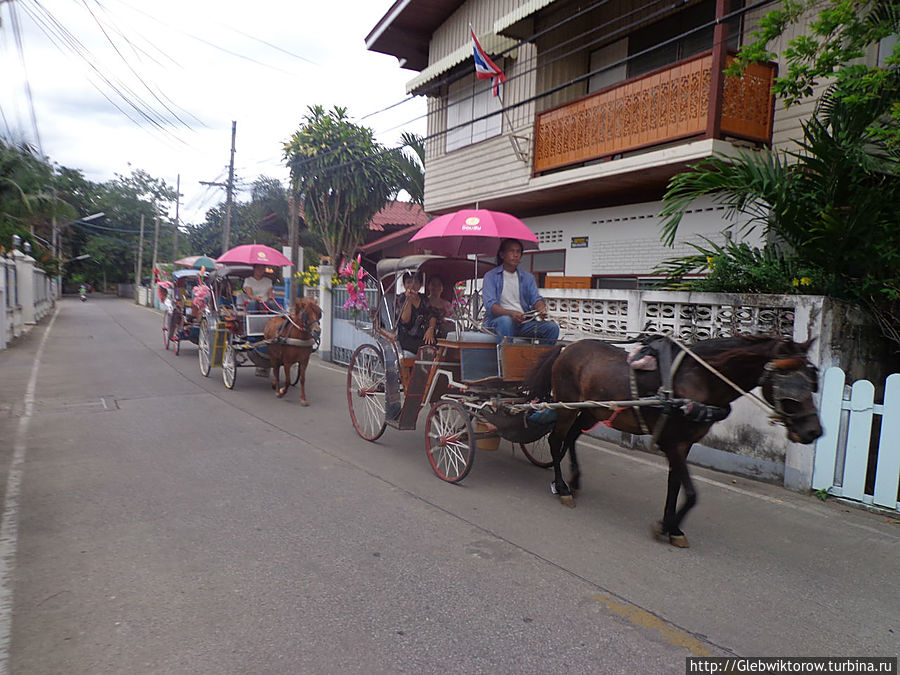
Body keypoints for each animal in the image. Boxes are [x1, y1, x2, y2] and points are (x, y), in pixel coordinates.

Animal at [524, 334, 828, 548]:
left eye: (813, 381)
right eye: (790, 385)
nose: (813, 432)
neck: (700, 379)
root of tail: (567, 348)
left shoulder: (683, 444)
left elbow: (675, 485)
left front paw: (672, 526)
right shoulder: (671, 443)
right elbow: (691, 493)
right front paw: (668, 526)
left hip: (593, 410)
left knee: (572, 437)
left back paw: (574, 480)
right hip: (568, 406)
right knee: (556, 441)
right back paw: (562, 487)